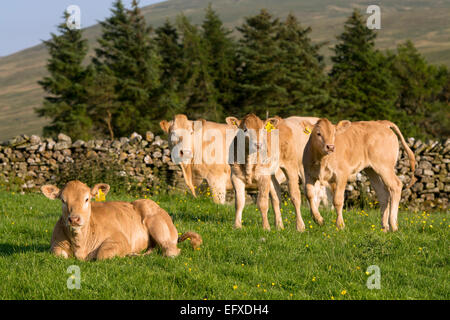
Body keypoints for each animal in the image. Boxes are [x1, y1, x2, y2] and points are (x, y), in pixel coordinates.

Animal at [40, 180, 202, 260]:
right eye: (63, 200)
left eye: (87, 199)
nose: (73, 219)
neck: (81, 244)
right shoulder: (56, 244)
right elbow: (59, 255)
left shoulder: (120, 240)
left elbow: (102, 255)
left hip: (159, 226)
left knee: (171, 251)